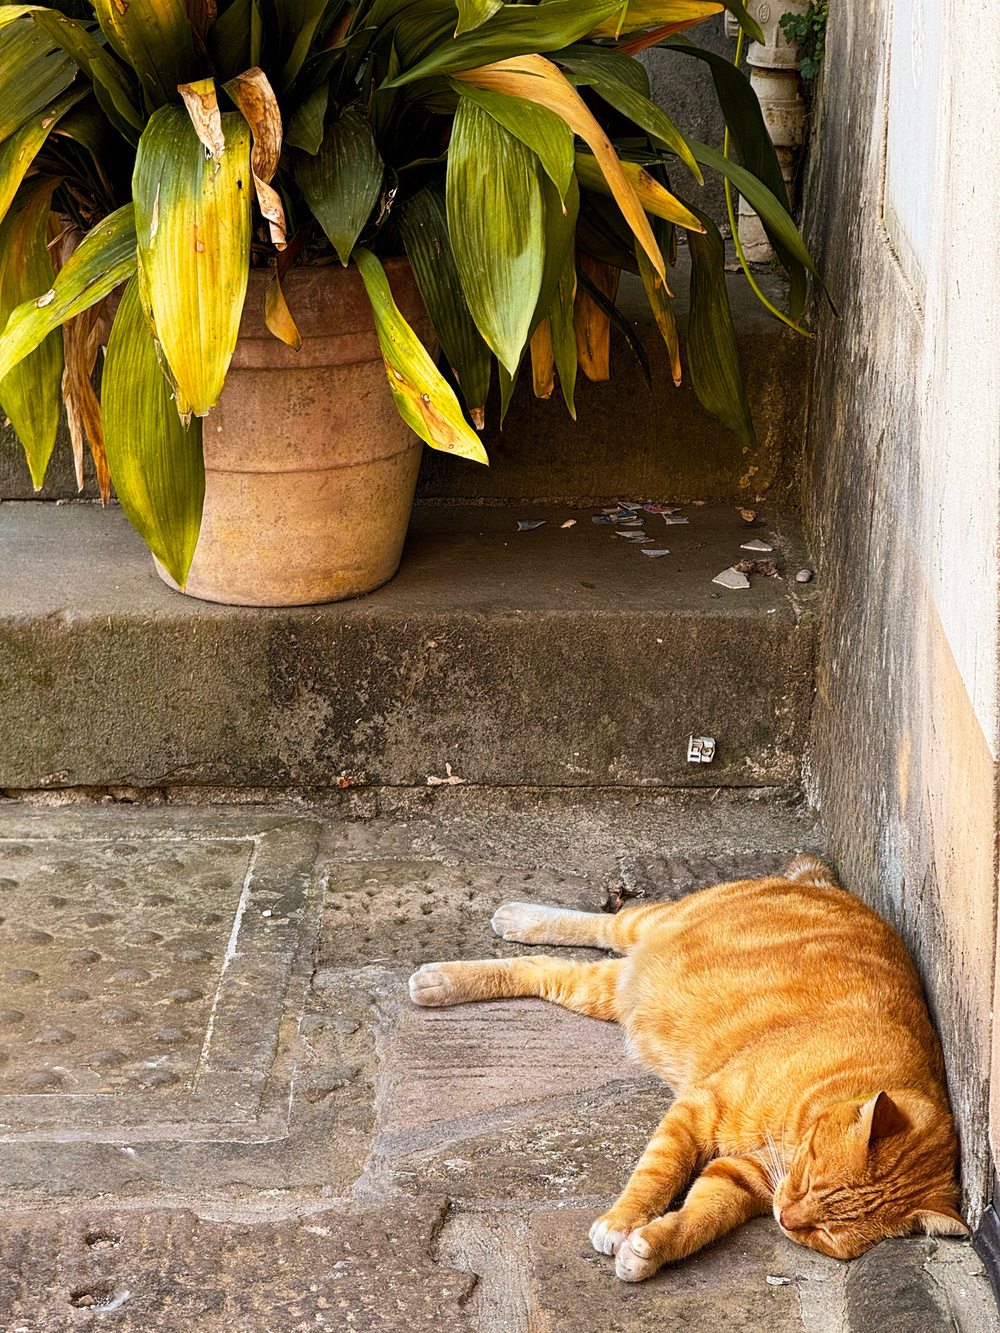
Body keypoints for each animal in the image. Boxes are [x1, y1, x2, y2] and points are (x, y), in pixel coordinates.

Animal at [408, 853, 970, 1279]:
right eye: (810, 1183)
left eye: (826, 1232)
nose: (786, 1220)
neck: (826, 1090)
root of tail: (832, 889)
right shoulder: (700, 1111)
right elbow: (657, 1174)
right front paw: (622, 1221)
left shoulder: (745, 1177)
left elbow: (703, 1216)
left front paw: (651, 1248)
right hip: (645, 928)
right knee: (602, 926)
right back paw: (491, 939)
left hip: (608, 991)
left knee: (548, 970)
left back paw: (454, 974)